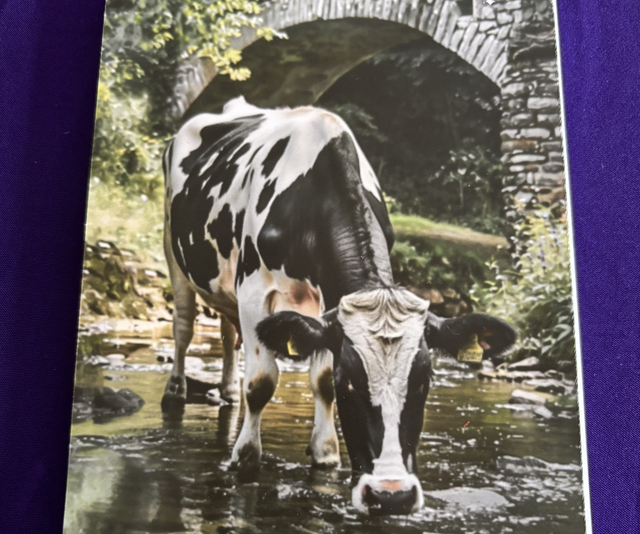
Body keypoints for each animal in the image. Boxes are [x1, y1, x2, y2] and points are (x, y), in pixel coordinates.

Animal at [161, 97, 517, 515]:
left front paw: (326, 452)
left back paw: (229, 393)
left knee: (227, 331)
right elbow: (262, 382)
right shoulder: (254, 291)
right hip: (173, 247)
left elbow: (319, 380)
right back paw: (176, 389)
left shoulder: (323, 304)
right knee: (184, 326)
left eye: (424, 381)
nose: (391, 495)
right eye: (350, 384)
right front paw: (245, 456)